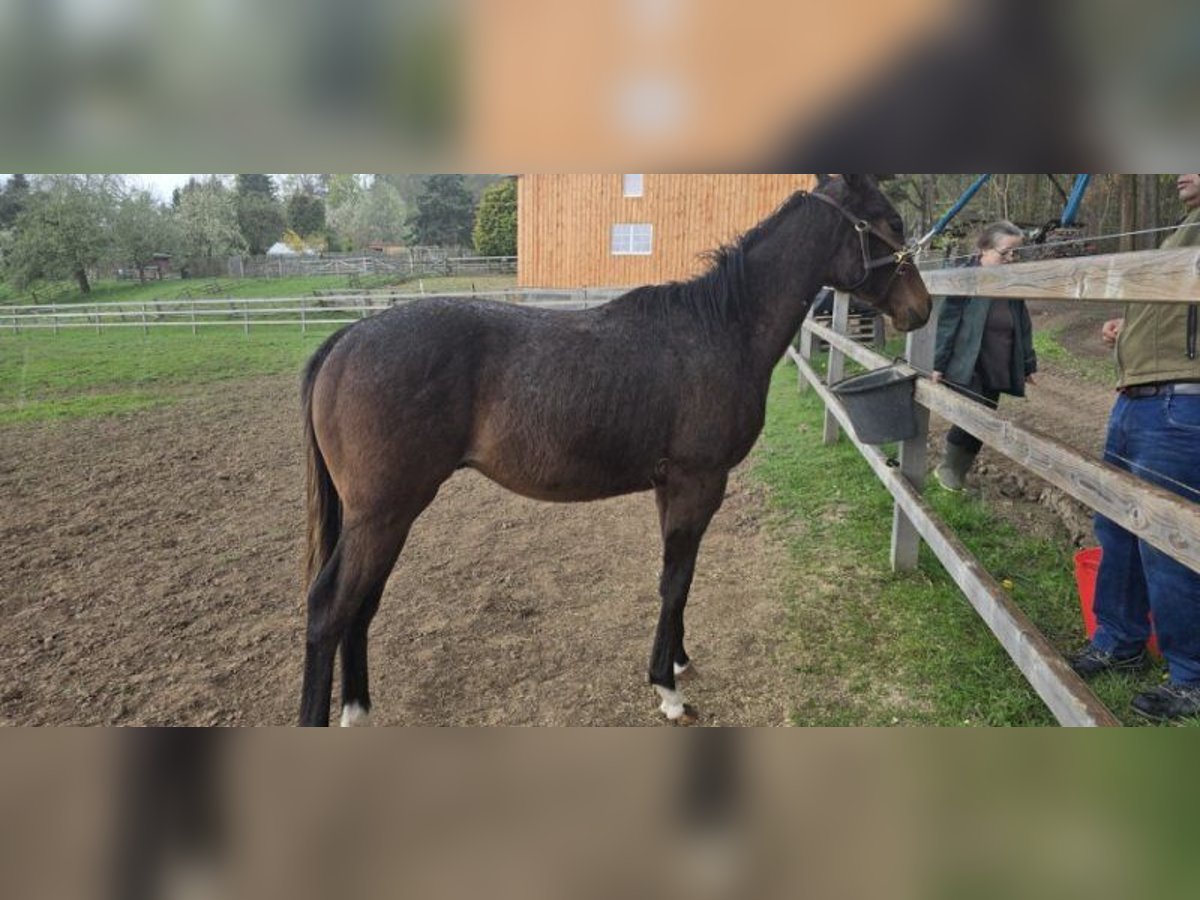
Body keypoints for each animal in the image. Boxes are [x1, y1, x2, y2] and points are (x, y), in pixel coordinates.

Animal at [298, 174, 931, 726]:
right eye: (892, 221)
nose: (921, 307)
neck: (720, 328)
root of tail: (347, 339)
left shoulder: (671, 487)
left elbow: (680, 577)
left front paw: (678, 659)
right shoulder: (699, 482)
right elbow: (674, 579)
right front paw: (667, 690)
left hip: (381, 518)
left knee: (361, 606)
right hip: (384, 513)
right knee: (330, 609)